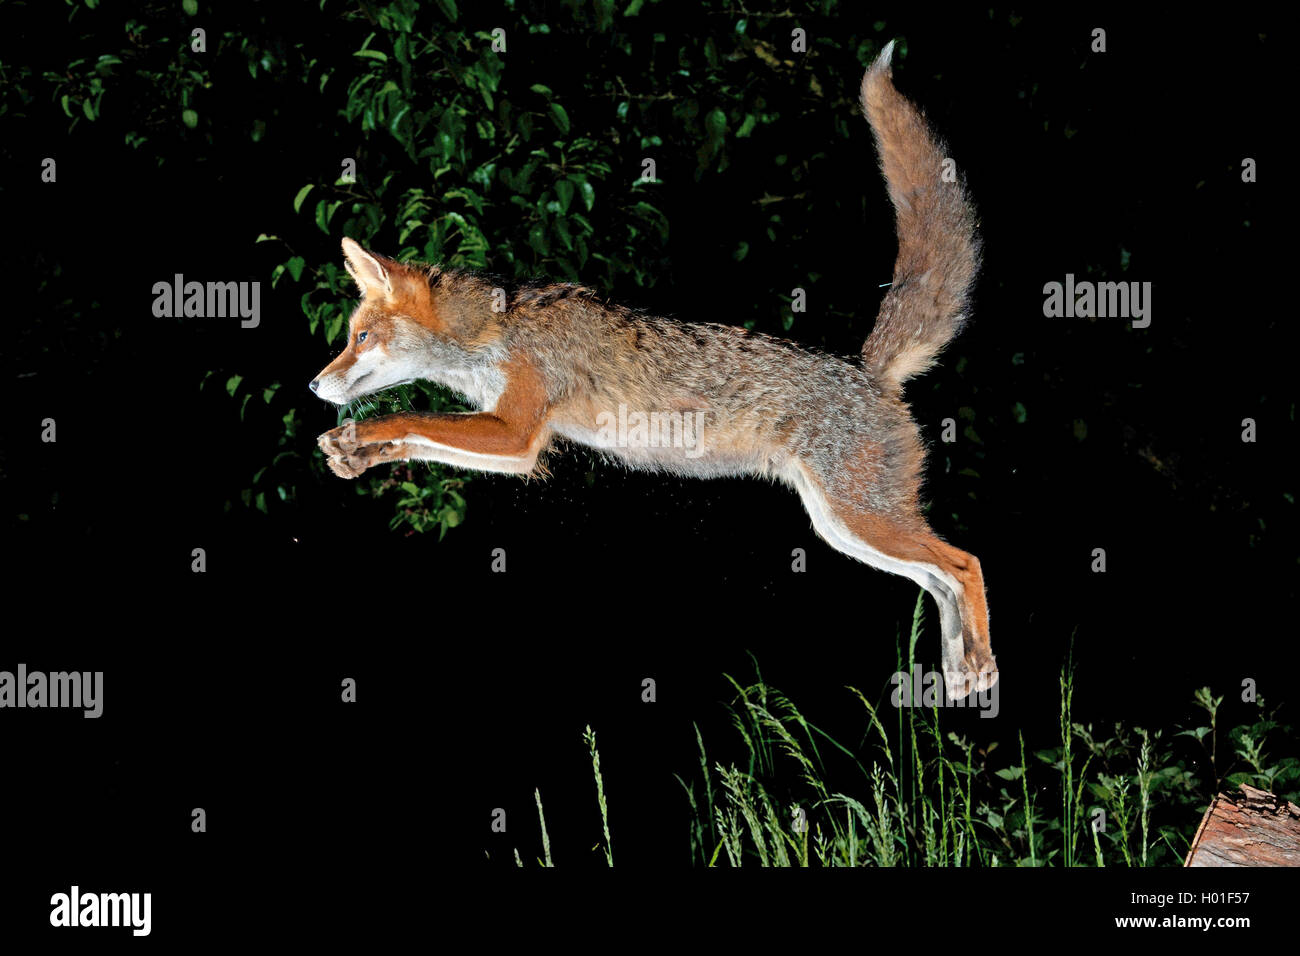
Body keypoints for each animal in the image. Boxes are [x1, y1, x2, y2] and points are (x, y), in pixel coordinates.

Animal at [310, 41, 995, 698]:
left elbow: (412, 413)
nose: (315, 383)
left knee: (964, 562)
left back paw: (979, 667)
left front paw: (361, 435)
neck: (491, 336)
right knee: (938, 579)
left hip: (862, 518)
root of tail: (867, 370)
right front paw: (356, 450)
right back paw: (960, 671)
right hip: (844, 529)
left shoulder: (517, 431)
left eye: (360, 338)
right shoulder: (519, 445)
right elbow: (419, 434)